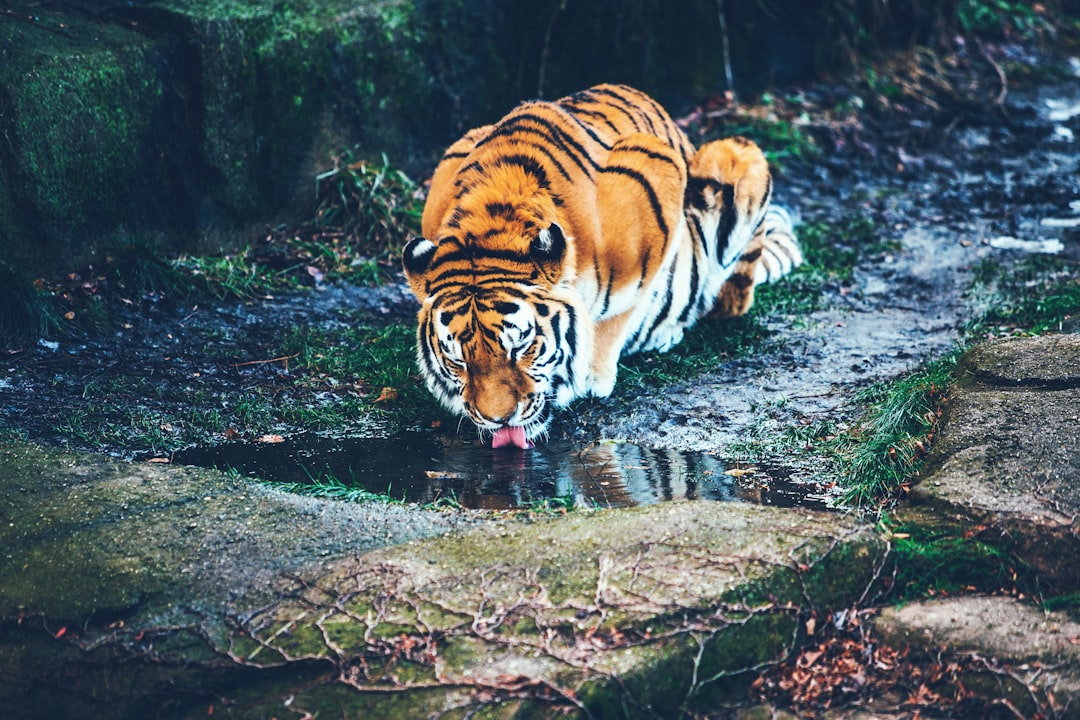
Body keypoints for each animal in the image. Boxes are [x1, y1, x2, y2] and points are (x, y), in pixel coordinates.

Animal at [406, 83, 803, 444]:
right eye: (458, 360)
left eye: (520, 348)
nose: (499, 419)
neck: (492, 218)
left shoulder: (658, 180)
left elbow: (620, 311)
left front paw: (592, 376)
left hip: (733, 155)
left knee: (729, 298)